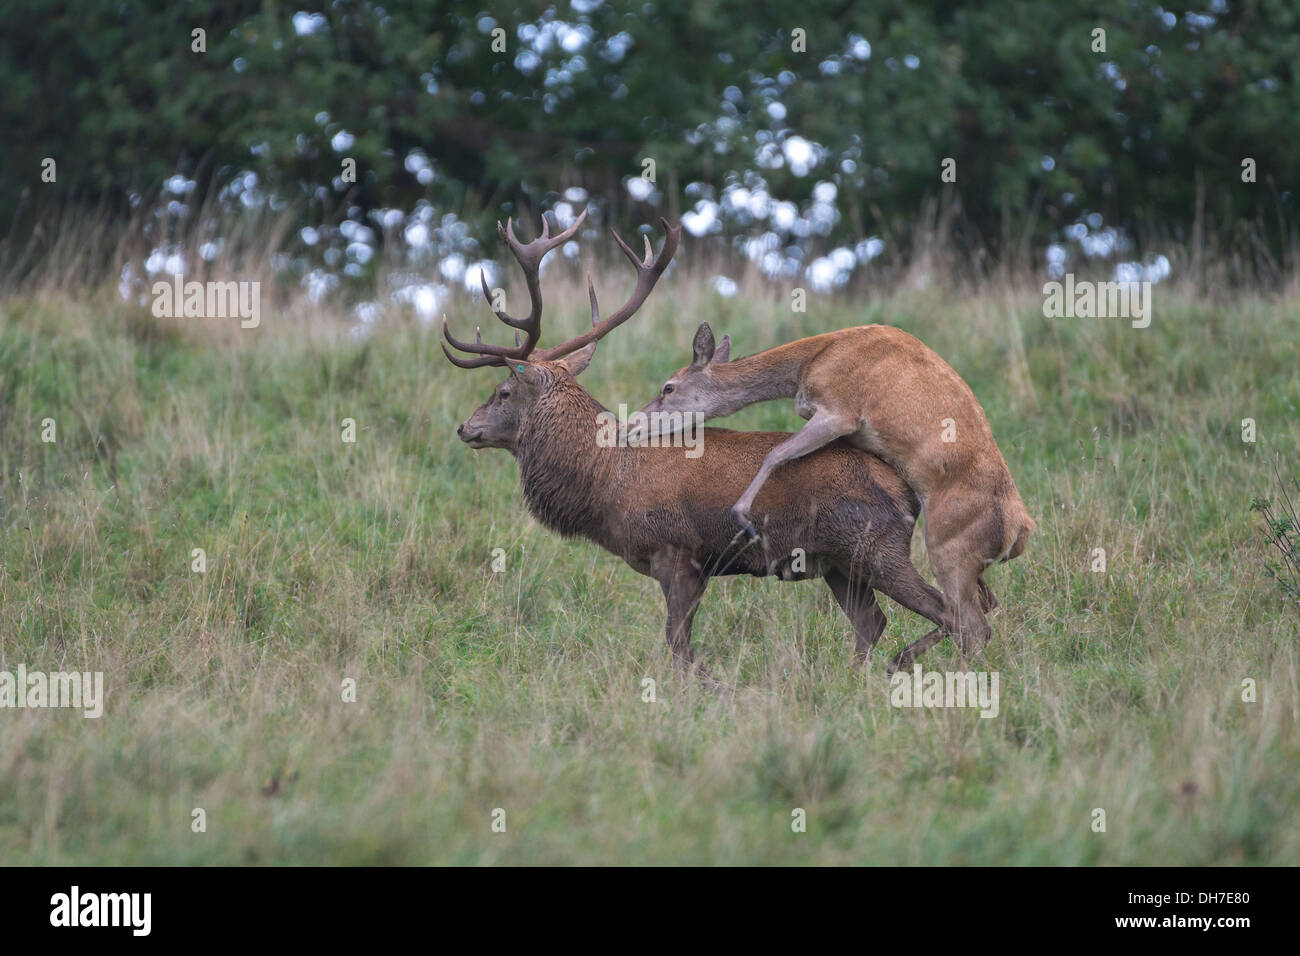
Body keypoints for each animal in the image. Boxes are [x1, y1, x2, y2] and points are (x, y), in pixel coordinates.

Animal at [442, 209, 961, 679]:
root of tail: (905, 490)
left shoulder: (678, 551)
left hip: (875, 546)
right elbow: (680, 644)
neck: (605, 483)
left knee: (955, 612)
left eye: (503, 391)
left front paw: (705, 687)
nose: (465, 427)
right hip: (838, 563)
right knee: (873, 623)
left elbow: (678, 644)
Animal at [635, 320, 1036, 667]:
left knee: (973, 624)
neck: (808, 364)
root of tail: (1021, 532)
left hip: (948, 548)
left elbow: (775, 453)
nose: (635, 423)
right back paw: (900, 660)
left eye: (668, 387)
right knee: (985, 603)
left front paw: (743, 516)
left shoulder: (840, 410)